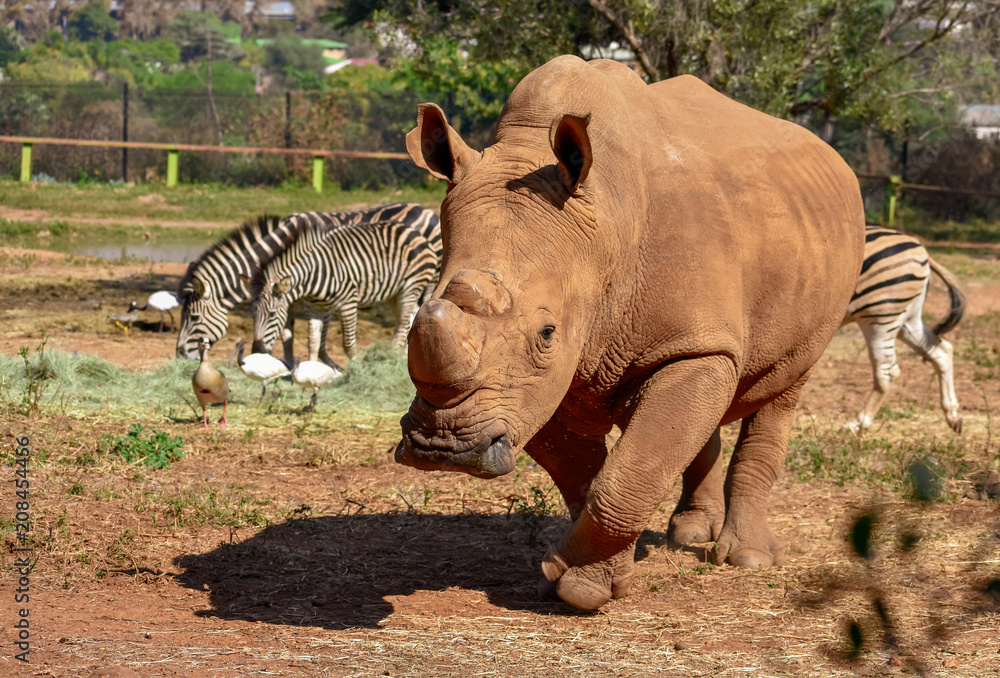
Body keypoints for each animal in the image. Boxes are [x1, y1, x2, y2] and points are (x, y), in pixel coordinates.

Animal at [395, 55, 865, 610]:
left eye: (546, 332)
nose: (442, 446)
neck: (603, 227)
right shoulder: (540, 383)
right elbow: (588, 474)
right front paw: (573, 575)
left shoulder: (661, 348)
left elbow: (632, 469)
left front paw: (579, 589)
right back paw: (691, 535)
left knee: (783, 389)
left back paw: (747, 559)